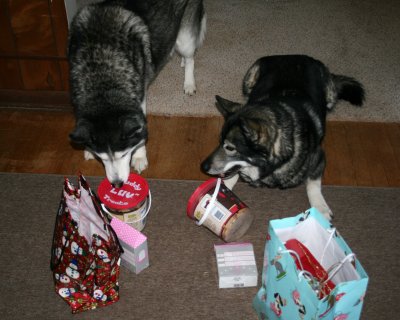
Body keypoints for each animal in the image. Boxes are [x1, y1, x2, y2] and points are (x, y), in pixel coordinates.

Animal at [68, 0, 205, 188]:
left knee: (190, 56)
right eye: (102, 158)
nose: (117, 184)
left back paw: (189, 81)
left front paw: (140, 156)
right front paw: (87, 148)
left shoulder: (139, 97)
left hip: (185, 38)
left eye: (125, 154)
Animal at [202, 55, 364, 220]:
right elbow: (231, 175)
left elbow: (313, 182)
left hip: (330, 95)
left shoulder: (319, 157)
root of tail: (295, 56)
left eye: (230, 148)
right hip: (248, 80)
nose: (203, 167)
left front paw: (320, 207)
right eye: (219, 142)